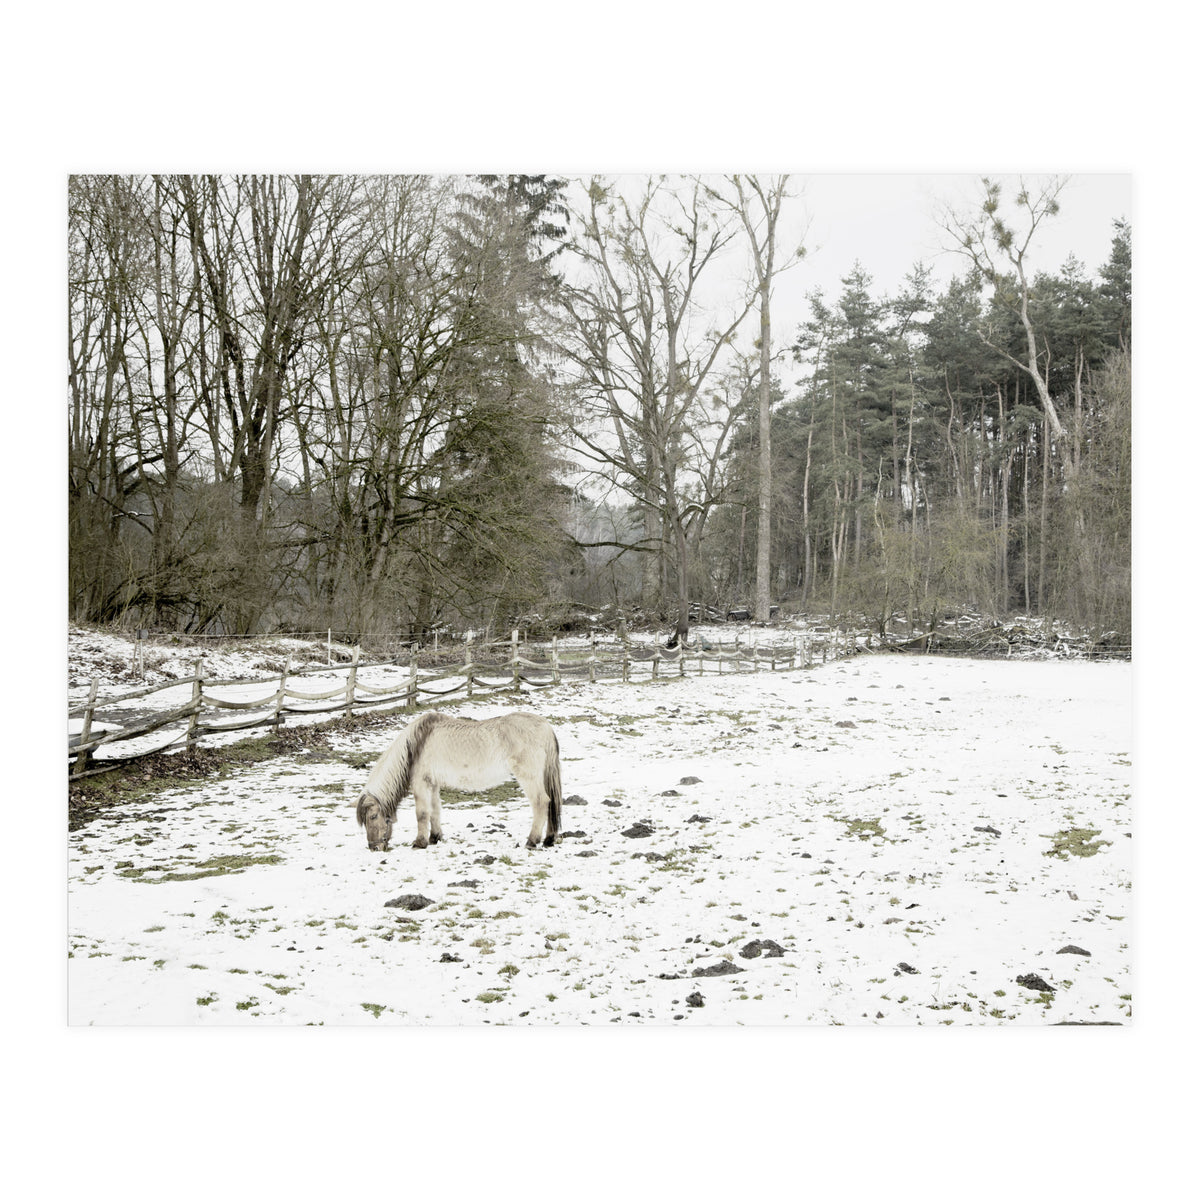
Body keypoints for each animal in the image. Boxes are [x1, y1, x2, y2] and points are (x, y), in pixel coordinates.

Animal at [355, 711, 562, 852]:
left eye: (372, 817)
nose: (374, 847)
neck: (417, 742)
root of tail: (545, 726)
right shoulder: (433, 784)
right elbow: (435, 811)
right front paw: (435, 838)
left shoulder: (421, 783)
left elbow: (422, 813)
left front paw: (419, 842)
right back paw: (548, 839)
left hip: (529, 777)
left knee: (541, 802)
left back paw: (532, 841)